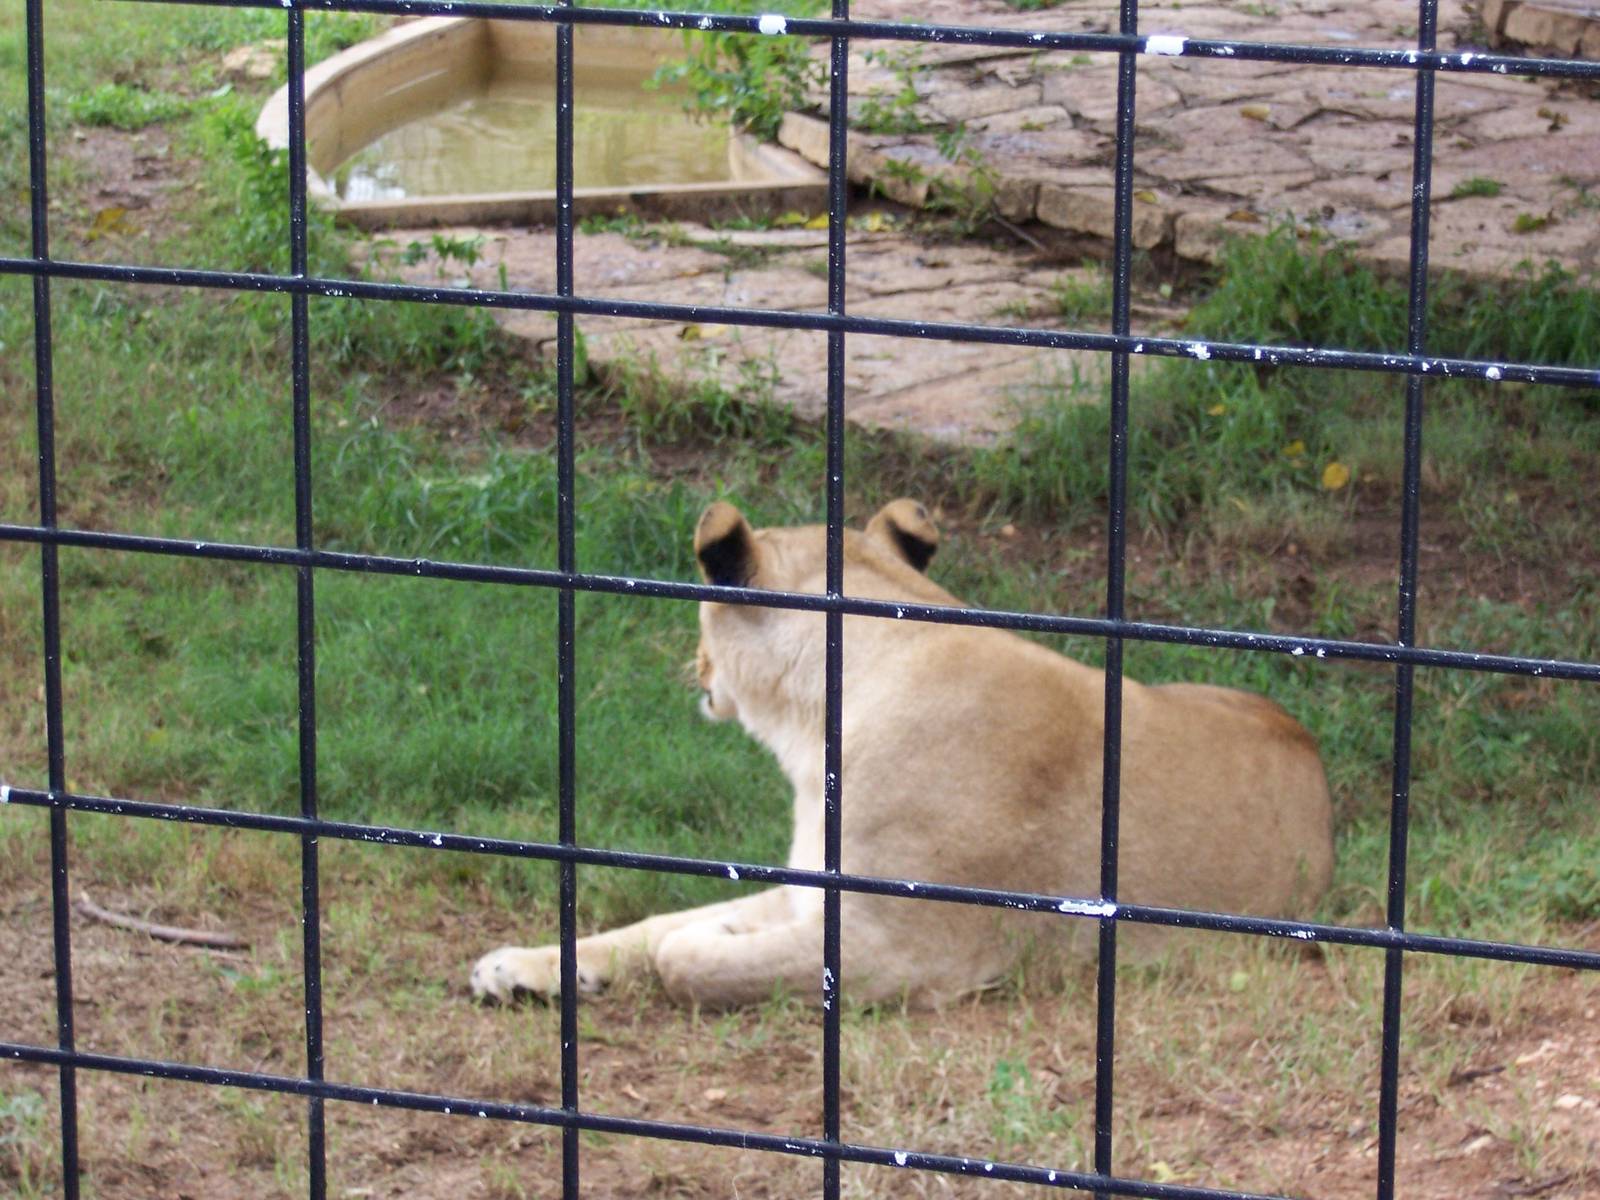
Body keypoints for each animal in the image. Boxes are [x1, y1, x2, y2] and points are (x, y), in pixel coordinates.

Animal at [470, 499, 1334, 1009]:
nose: (699, 667)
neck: (820, 717)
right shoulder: (810, 889)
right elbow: (652, 925)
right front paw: (521, 966)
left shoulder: (910, 950)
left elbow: (686, 957)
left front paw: (706, 948)